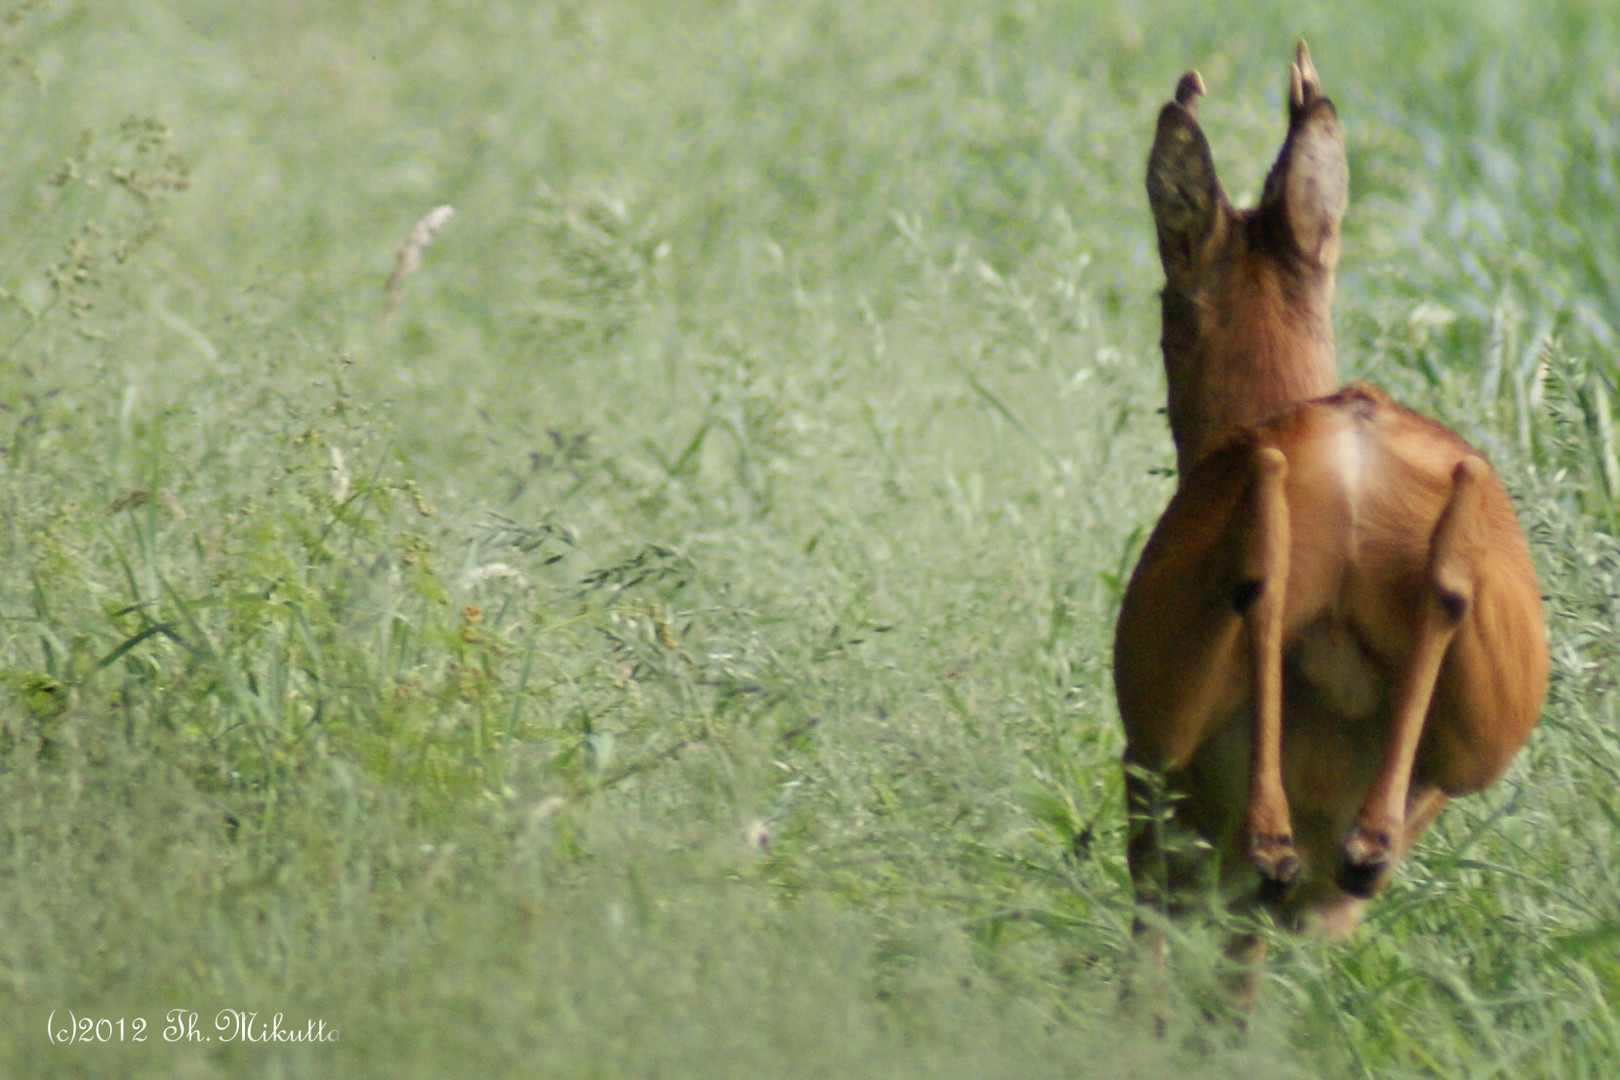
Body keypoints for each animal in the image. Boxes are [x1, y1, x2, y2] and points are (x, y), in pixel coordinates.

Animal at [1114, 44, 1542, 1003]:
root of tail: (1350, 447)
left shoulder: (1152, 814)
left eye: (1166, 314)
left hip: (1163, 735)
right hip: (1485, 727)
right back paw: (1353, 844)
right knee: (1430, 593)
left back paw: (1292, 841)